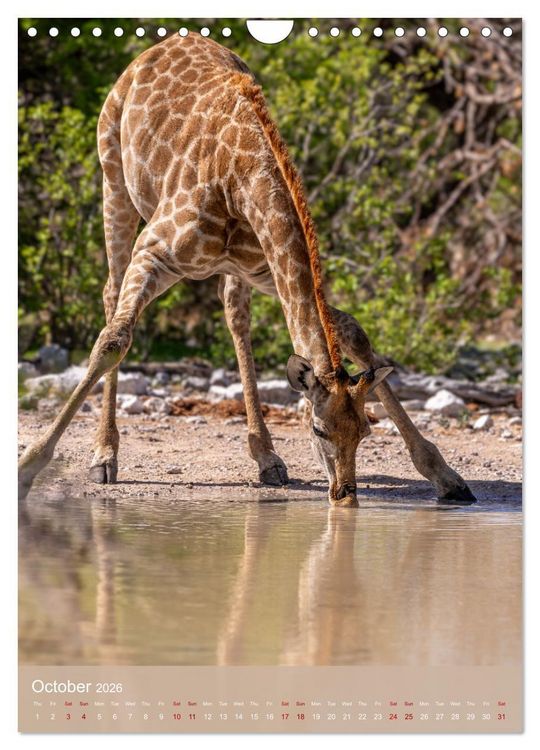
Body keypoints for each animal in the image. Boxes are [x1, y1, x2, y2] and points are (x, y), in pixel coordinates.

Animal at [18, 32, 475, 507]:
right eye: (318, 430)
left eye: (366, 430)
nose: (345, 494)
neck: (239, 183)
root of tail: (160, 45)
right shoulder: (154, 252)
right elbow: (113, 341)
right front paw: (28, 467)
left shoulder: (266, 268)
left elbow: (351, 330)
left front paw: (445, 475)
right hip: (114, 182)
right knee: (111, 294)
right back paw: (104, 455)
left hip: (234, 269)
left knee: (235, 314)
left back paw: (266, 457)